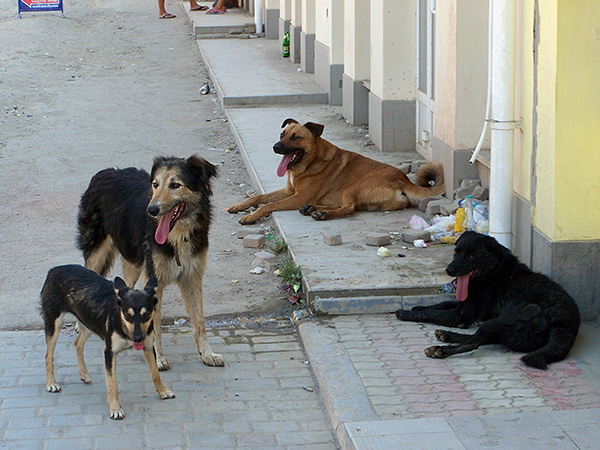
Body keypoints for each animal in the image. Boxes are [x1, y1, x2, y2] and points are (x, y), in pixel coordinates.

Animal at [40, 266, 173, 420]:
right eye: (127, 315)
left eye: (146, 315)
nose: (138, 338)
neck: (122, 325)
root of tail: (54, 269)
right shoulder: (109, 352)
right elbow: (112, 384)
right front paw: (115, 409)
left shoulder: (148, 348)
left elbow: (155, 374)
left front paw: (163, 391)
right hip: (54, 324)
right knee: (48, 355)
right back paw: (51, 383)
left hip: (89, 322)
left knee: (77, 343)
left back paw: (84, 374)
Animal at [77, 156, 223, 370]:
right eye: (155, 184)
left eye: (175, 185)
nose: (152, 210)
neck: (177, 234)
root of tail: (105, 172)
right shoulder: (154, 279)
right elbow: (155, 324)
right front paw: (158, 358)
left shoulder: (192, 276)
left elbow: (199, 322)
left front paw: (207, 354)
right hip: (97, 252)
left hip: (134, 261)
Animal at [227, 118, 442, 224]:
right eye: (282, 134)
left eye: (296, 137)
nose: (275, 147)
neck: (311, 162)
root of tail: (403, 179)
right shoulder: (290, 191)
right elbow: (258, 197)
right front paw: (239, 206)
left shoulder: (296, 196)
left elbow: (268, 205)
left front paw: (250, 216)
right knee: (347, 206)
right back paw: (312, 209)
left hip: (353, 187)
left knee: (349, 208)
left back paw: (321, 214)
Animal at [396, 230, 580, 370]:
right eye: (456, 252)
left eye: (471, 256)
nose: (449, 270)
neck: (494, 273)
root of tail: (563, 323)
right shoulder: (466, 305)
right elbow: (443, 303)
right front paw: (418, 307)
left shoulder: (459, 314)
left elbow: (432, 314)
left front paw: (405, 313)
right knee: (482, 338)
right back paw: (446, 335)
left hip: (503, 319)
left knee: (475, 342)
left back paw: (440, 350)